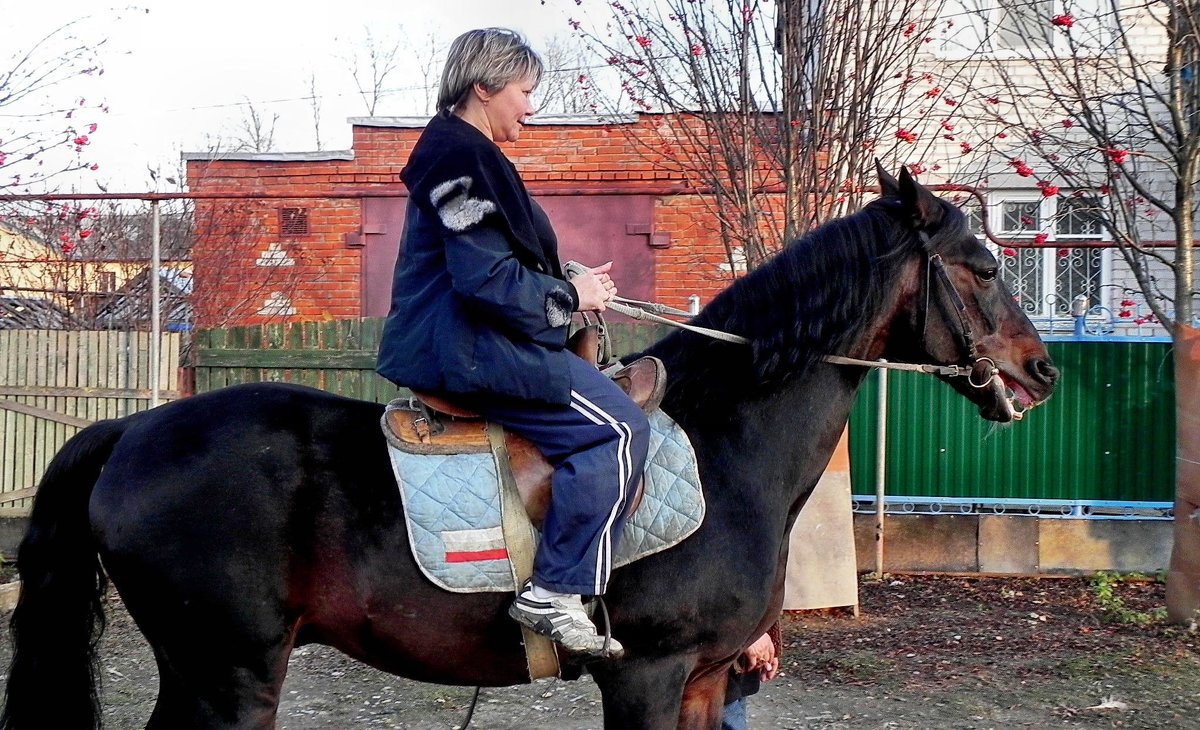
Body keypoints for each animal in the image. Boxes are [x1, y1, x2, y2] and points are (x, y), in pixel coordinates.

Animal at [2, 166, 1060, 730]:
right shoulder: (646, 677)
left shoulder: (705, 680)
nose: (1042, 371)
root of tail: (132, 429)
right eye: (981, 265)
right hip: (231, 674)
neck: (725, 446)